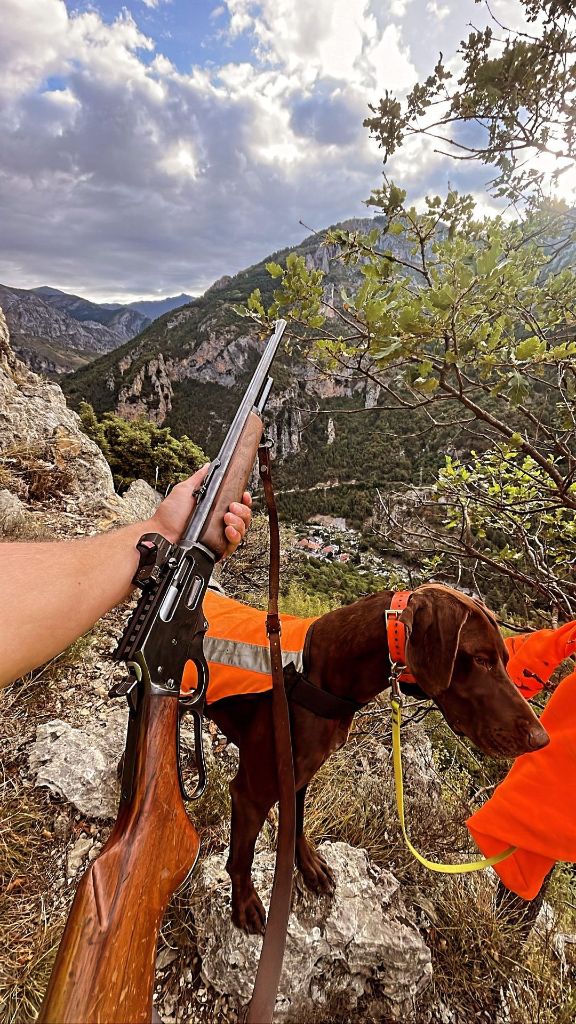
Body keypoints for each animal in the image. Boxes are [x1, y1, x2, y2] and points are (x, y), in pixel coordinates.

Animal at [206, 585, 545, 937]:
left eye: (504, 660)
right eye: (480, 659)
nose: (541, 739)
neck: (321, 673)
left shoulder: (300, 776)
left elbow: (295, 823)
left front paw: (309, 865)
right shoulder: (251, 795)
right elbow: (242, 858)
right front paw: (244, 902)